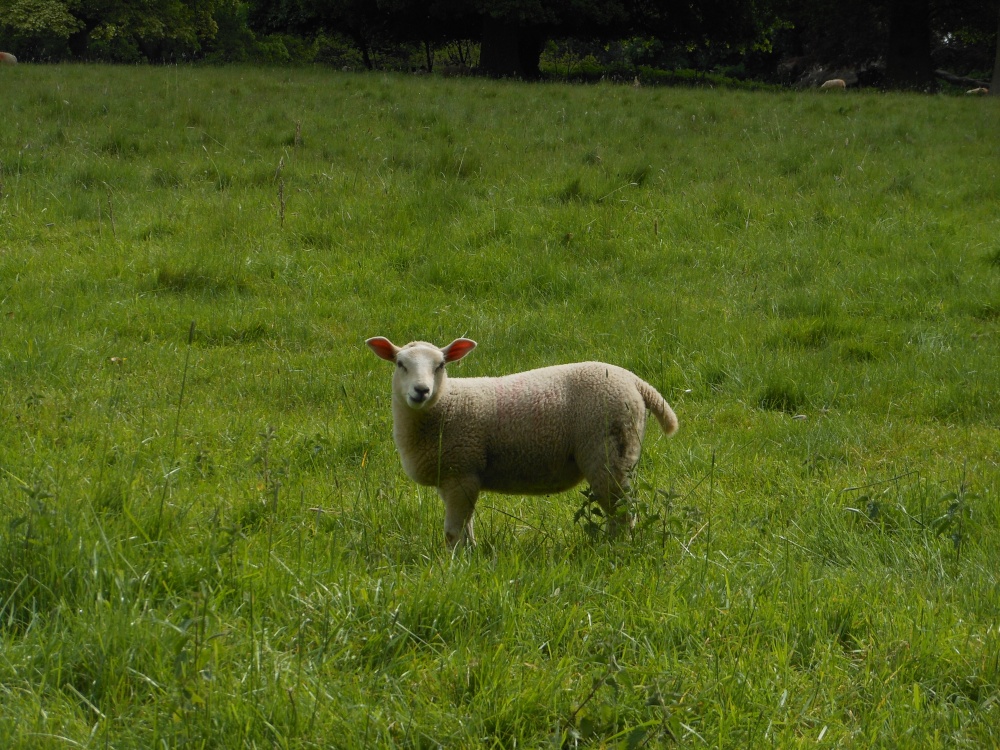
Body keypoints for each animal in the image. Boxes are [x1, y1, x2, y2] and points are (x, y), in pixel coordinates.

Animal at [366, 337, 678, 548]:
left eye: (440, 365)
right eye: (400, 364)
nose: (421, 390)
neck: (447, 404)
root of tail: (635, 382)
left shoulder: (463, 472)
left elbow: (453, 532)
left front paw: (454, 564)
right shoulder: (453, 475)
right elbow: (466, 527)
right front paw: (470, 554)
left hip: (608, 452)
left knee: (623, 513)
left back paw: (615, 549)